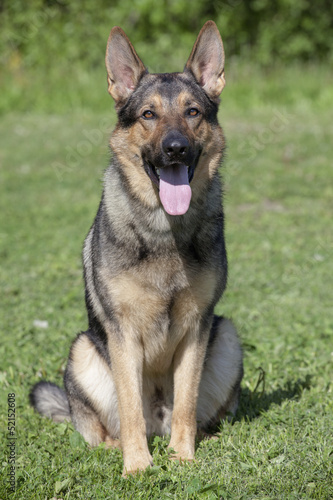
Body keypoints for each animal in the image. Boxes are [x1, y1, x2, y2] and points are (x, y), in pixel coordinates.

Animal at [29, 20, 243, 476]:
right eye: (149, 115)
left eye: (192, 112)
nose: (176, 148)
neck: (164, 232)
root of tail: (157, 422)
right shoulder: (122, 335)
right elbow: (128, 409)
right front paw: (138, 467)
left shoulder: (198, 327)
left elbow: (186, 404)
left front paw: (182, 459)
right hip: (83, 351)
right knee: (101, 430)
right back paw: (120, 449)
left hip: (228, 336)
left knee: (197, 415)